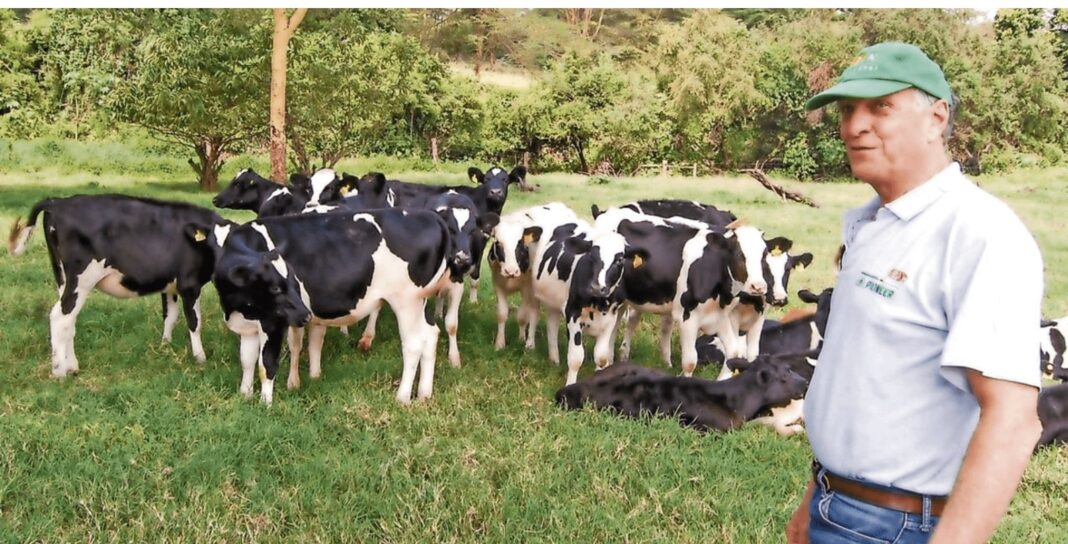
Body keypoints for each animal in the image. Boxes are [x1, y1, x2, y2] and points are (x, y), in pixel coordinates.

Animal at [8, 195, 226, 377]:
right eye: (213, 245)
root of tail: (57, 202)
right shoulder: (190, 284)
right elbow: (194, 322)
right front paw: (200, 358)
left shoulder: (169, 285)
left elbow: (170, 316)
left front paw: (165, 346)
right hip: (82, 279)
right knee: (60, 318)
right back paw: (61, 371)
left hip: (62, 277)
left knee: (68, 319)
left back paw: (72, 365)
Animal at [191, 208, 451, 404]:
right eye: (275, 288)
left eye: (290, 283)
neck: (237, 306)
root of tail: (428, 215)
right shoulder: (248, 324)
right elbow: (247, 360)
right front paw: (245, 395)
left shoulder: (273, 322)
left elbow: (266, 364)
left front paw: (265, 404)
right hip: (420, 302)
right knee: (431, 334)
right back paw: (424, 393)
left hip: (406, 300)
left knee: (413, 344)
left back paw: (403, 397)